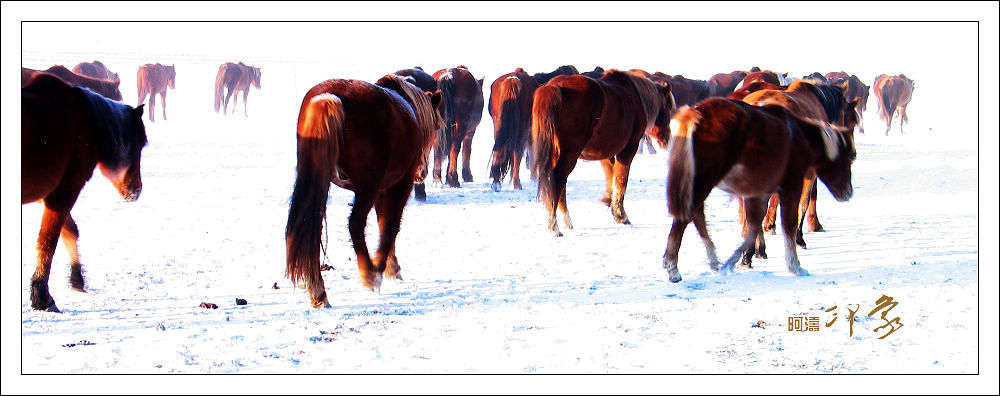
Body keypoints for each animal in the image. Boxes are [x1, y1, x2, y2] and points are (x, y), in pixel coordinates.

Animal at [21, 72, 146, 310]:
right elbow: (48, 241)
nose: (137, 190)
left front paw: (76, 279)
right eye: (140, 145)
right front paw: (43, 297)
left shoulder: (51, 195)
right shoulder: (64, 191)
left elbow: (70, 231)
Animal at [282, 75, 438, 310]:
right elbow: (391, 226)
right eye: (436, 130)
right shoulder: (398, 185)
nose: (422, 172)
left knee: (311, 226)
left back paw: (318, 291)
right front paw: (382, 268)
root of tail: (330, 98)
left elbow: (383, 223)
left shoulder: (382, 190)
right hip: (367, 187)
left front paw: (391, 267)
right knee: (355, 224)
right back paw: (369, 274)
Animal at [532, 68, 672, 237]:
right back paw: (554, 226)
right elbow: (621, 180)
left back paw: (566, 220)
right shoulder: (628, 149)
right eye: (668, 108)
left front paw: (609, 203)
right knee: (558, 178)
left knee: (560, 182)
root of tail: (554, 88)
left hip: (558, 153)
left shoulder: (603, 153)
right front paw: (621, 215)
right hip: (569, 153)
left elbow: (611, 175)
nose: (666, 139)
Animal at [664, 98, 852, 284]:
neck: (800, 137)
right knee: (686, 219)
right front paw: (795, 266)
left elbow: (753, 226)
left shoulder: (759, 194)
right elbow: (788, 225)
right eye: (850, 157)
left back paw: (714, 260)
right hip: (704, 181)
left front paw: (735, 261)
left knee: (697, 216)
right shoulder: (791, 188)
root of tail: (697, 113)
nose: (848, 193)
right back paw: (674, 269)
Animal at [740, 80, 864, 266]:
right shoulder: (809, 173)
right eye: (852, 121)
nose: (852, 153)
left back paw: (754, 250)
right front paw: (800, 238)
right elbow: (804, 203)